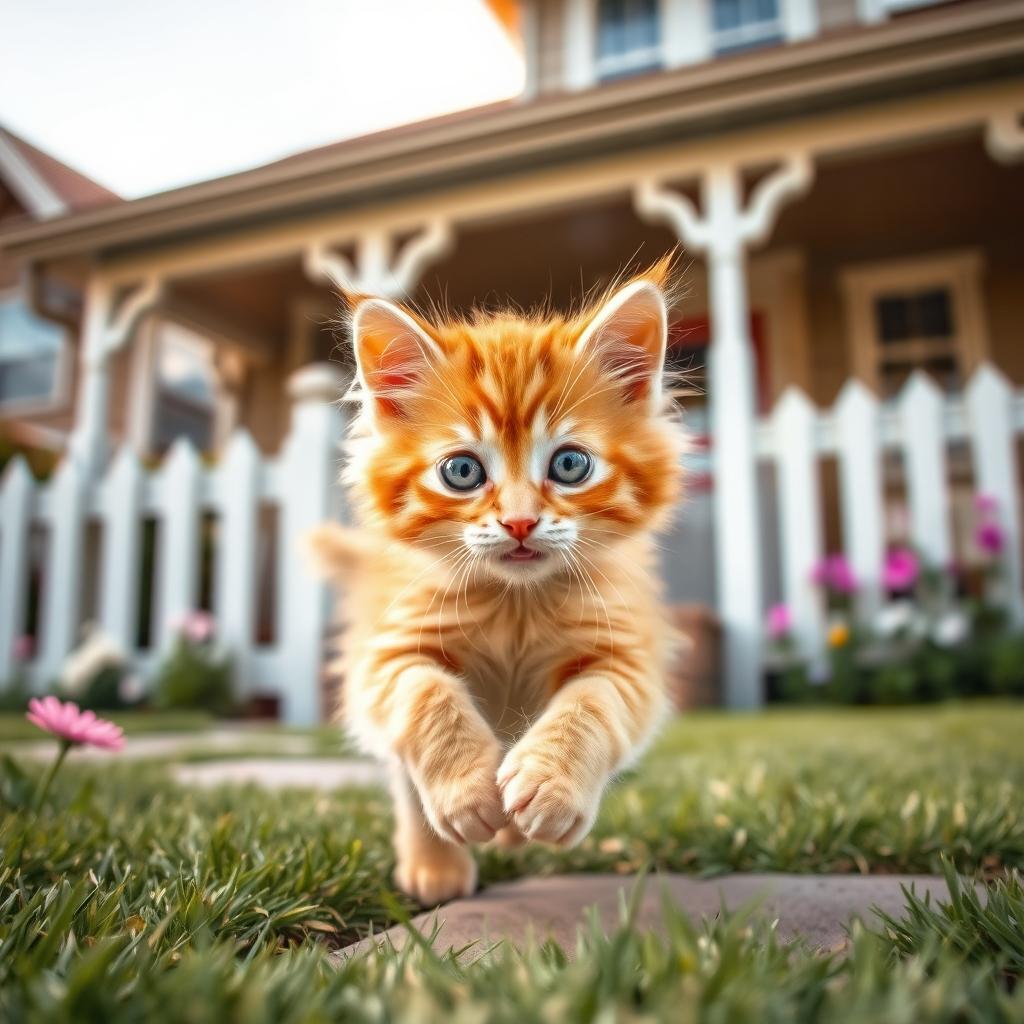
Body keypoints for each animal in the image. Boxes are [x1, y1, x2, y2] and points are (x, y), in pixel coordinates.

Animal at [307, 262, 684, 905]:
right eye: (462, 471)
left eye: (570, 465)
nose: (519, 522)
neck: (515, 604)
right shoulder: (387, 654)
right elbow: (427, 699)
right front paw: (467, 793)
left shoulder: (626, 658)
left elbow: (591, 705)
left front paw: (550, 787)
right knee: (404, 777)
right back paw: (435, 864)